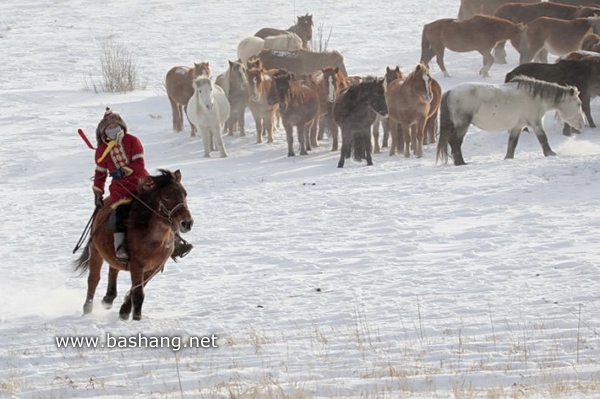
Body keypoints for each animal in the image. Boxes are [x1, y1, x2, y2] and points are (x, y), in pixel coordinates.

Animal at [72, 170, 195, 322]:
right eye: (167, 196)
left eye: (185, 194)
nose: (187, 223)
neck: (154, 239)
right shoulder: (137, 266)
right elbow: (138, 294)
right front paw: (136, 317)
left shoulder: (153, 268)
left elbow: (136, 289)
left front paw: (124, 311)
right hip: (96, 252)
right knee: (93, 279)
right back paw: (87, 309)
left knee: (113, 270)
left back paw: (108, 298)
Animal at [436, 75, 584, 166]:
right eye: (578, 104)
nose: (582, 124)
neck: (536, 96)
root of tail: (450, 91)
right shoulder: (535, 122)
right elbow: (543, 139)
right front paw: (551, 154)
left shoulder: (518, 125)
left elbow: (512, 143)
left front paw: (508, 158)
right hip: (462, 124)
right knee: (455, 142)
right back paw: (461, 162)